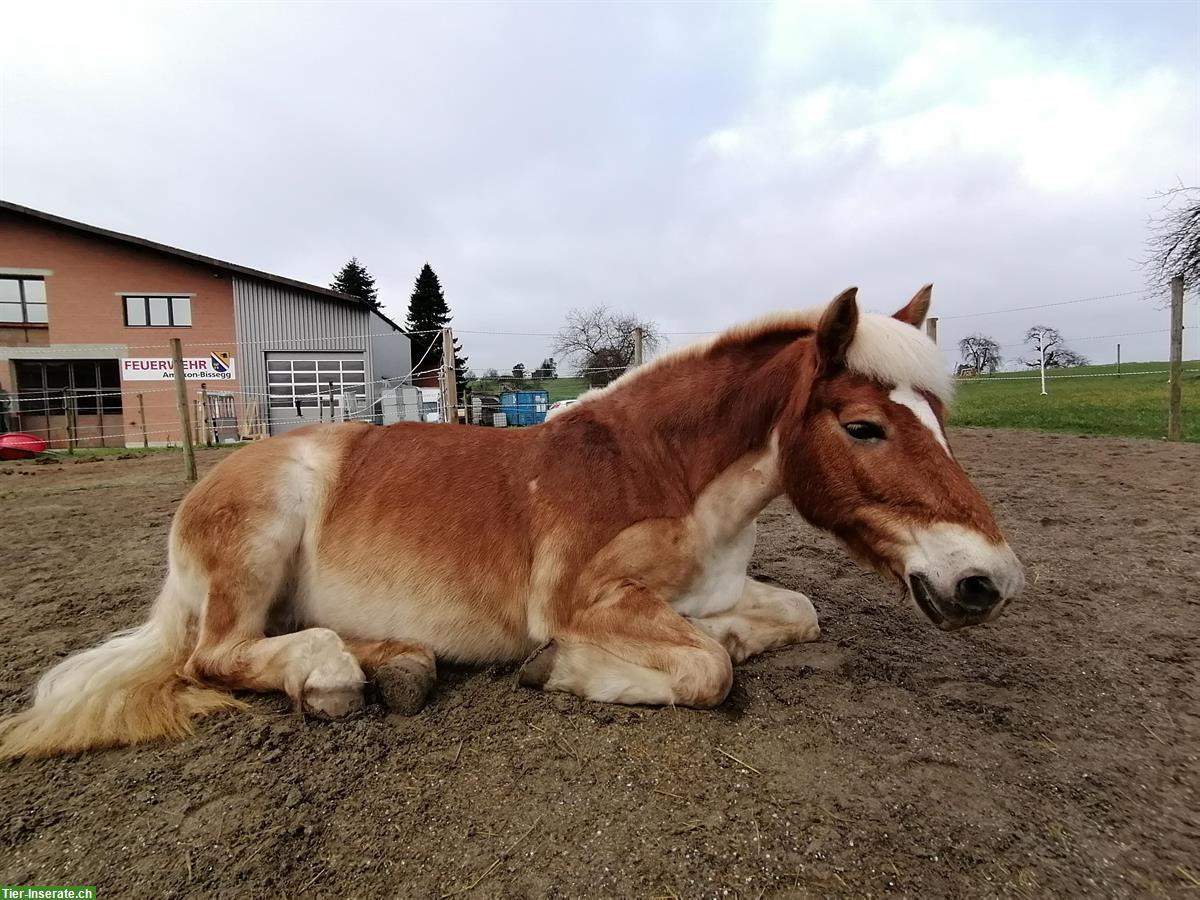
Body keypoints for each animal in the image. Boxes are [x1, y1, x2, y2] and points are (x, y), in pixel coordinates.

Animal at [2, 286, 1022, 763]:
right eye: (864, 427)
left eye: (939, 415)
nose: (989, 581)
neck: (663, 473)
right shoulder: (584, 600)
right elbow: (707, 668)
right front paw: (566, 671)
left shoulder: (717, 586)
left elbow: (791, 617)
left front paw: (728, 628)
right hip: (259, 542)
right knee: (213, 655)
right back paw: (333, 677)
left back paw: (398, 666)